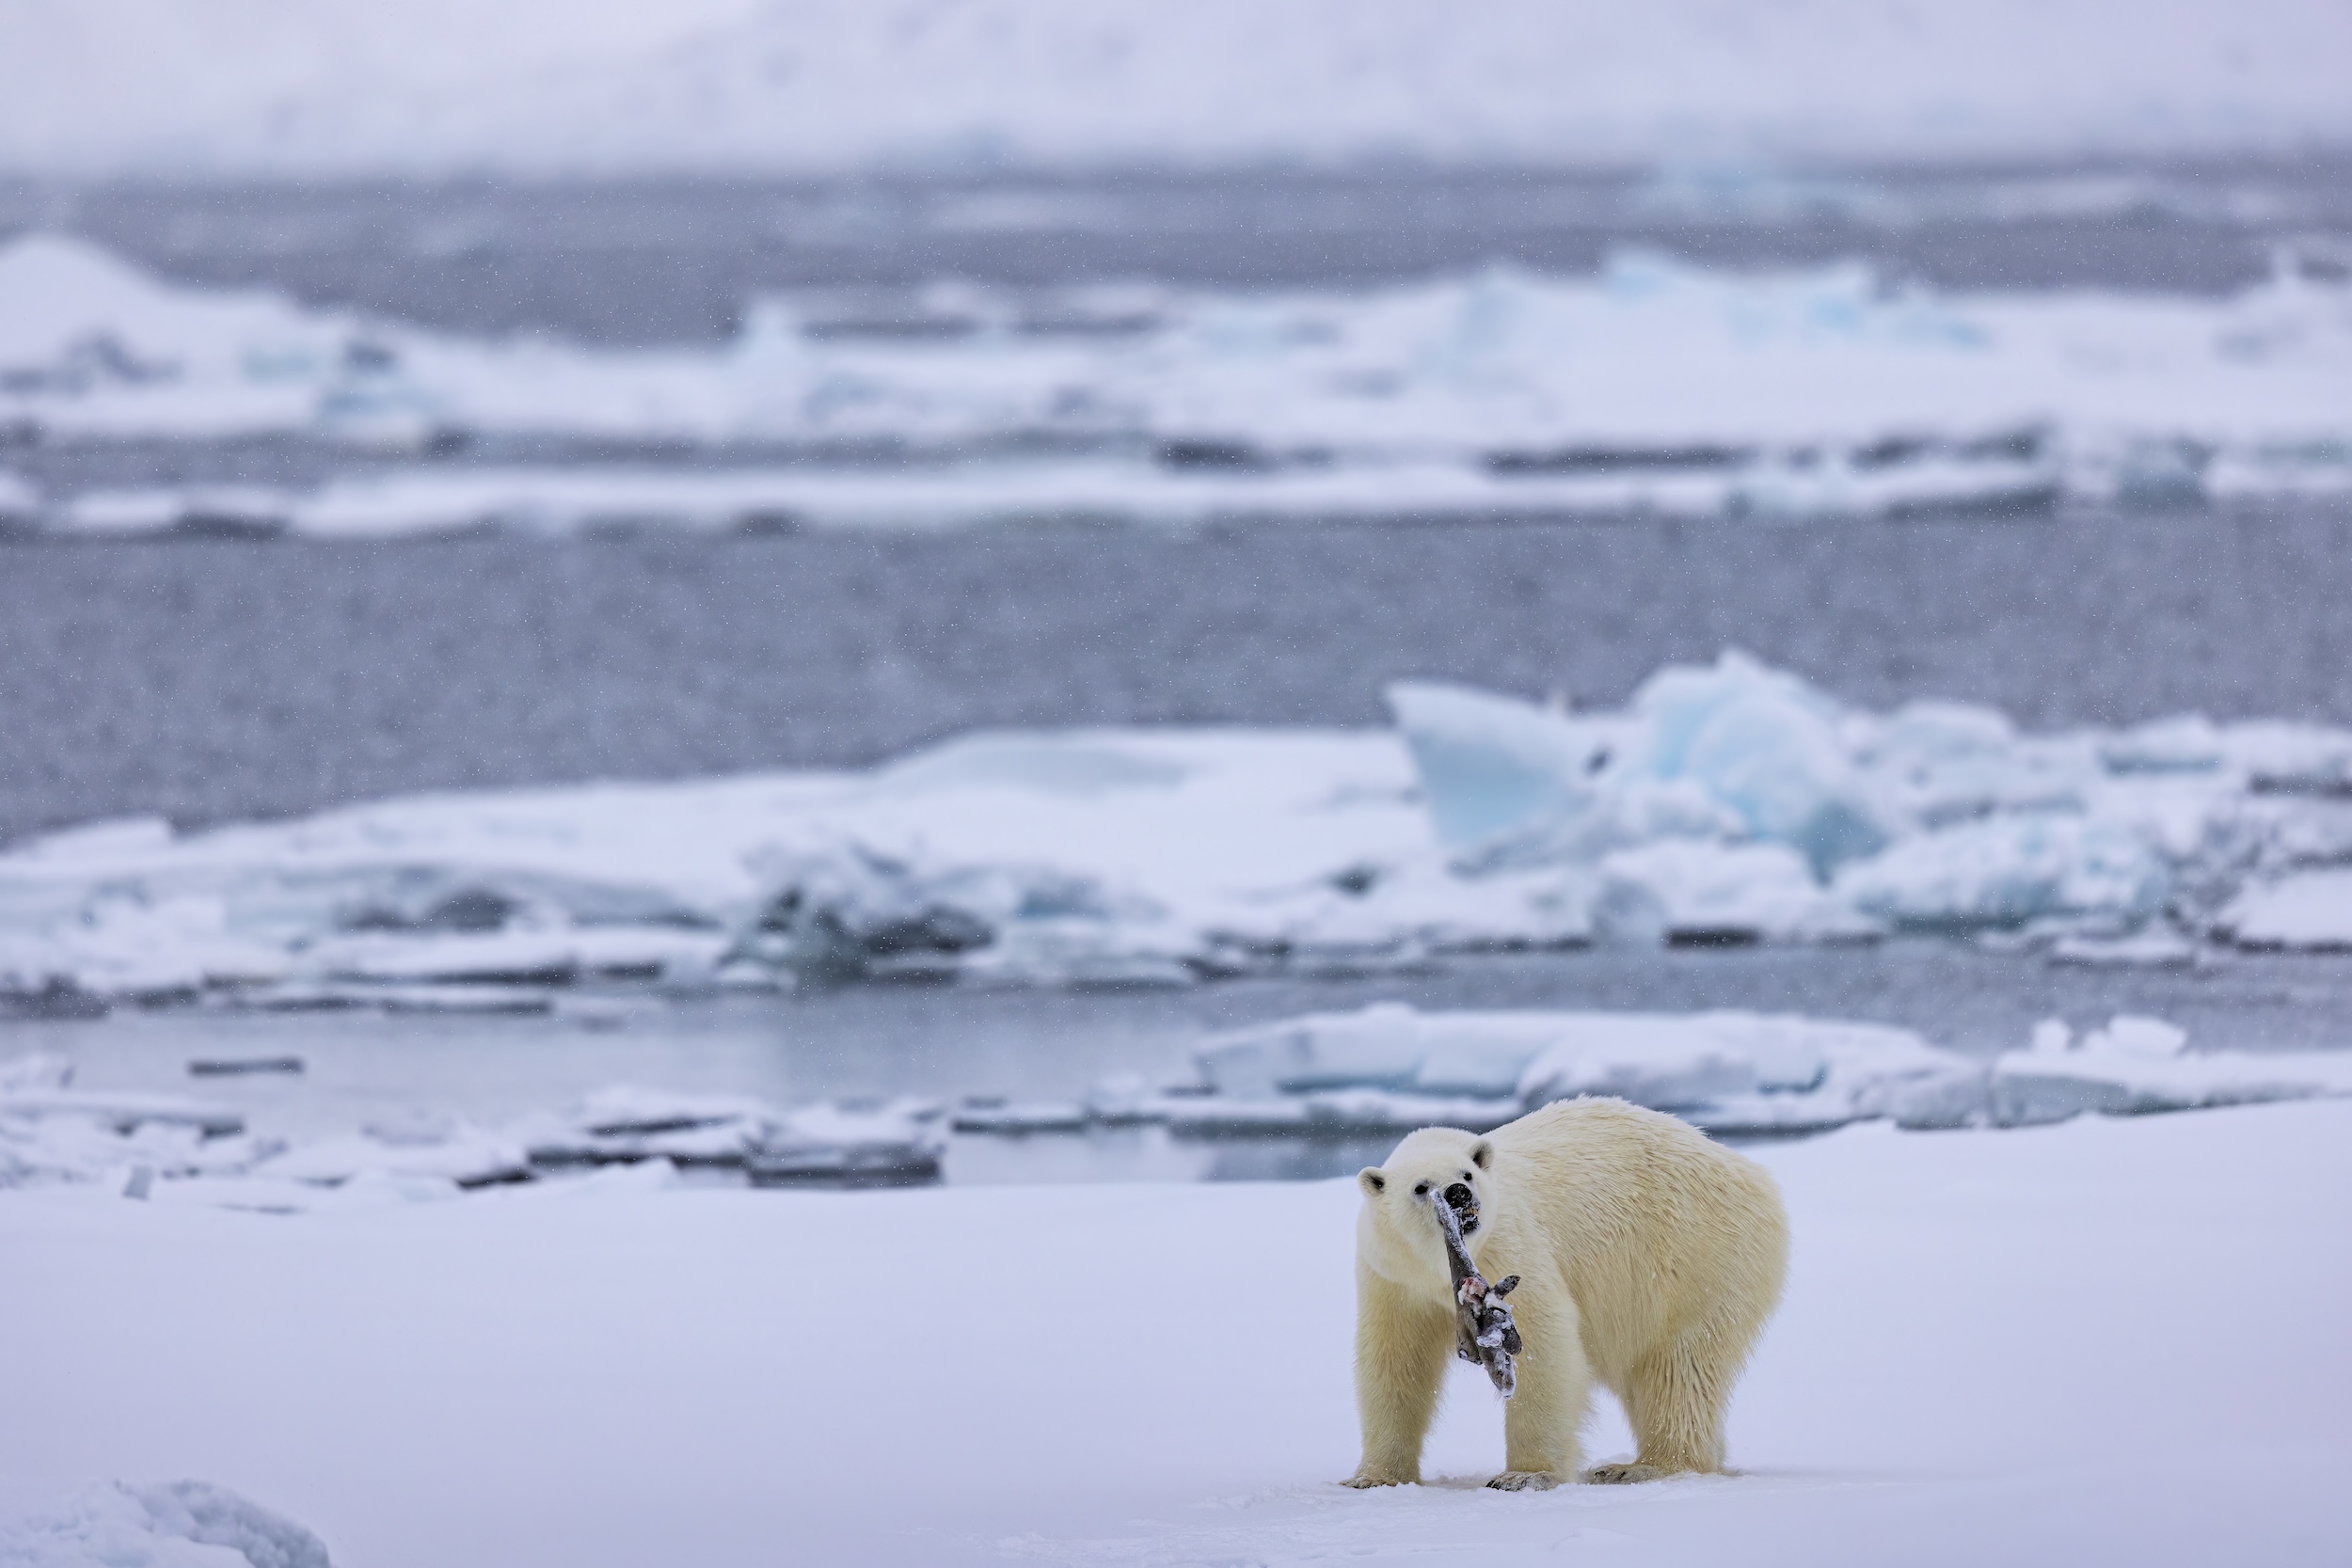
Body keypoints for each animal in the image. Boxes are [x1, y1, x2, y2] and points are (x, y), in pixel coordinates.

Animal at [1345, 1097, 1788, 1491]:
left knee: (1680, 1366)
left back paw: (1642, 1467)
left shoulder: (1510, 1246)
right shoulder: (1392, 1278)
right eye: (1420, 1188)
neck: (1437, 1269)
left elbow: (1543, 1341)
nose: (1457, 1193)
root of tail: (1749, 1171)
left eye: (1466, 1174)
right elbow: (1395, 1360)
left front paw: (1524, 1475)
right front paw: (1372, 1477)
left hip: (1695, 1260)